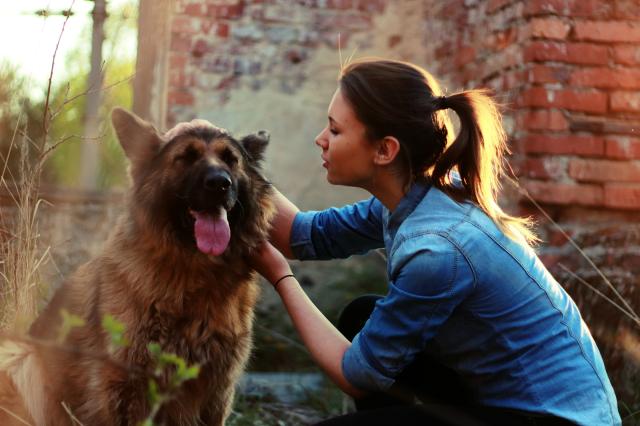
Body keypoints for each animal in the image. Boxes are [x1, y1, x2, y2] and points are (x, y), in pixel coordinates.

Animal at [0, 108, 272, 424]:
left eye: (231, 159)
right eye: (185, 157)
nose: (220, 183)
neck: (192, 271)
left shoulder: (216, 391)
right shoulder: (123, 385)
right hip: (20, 356)